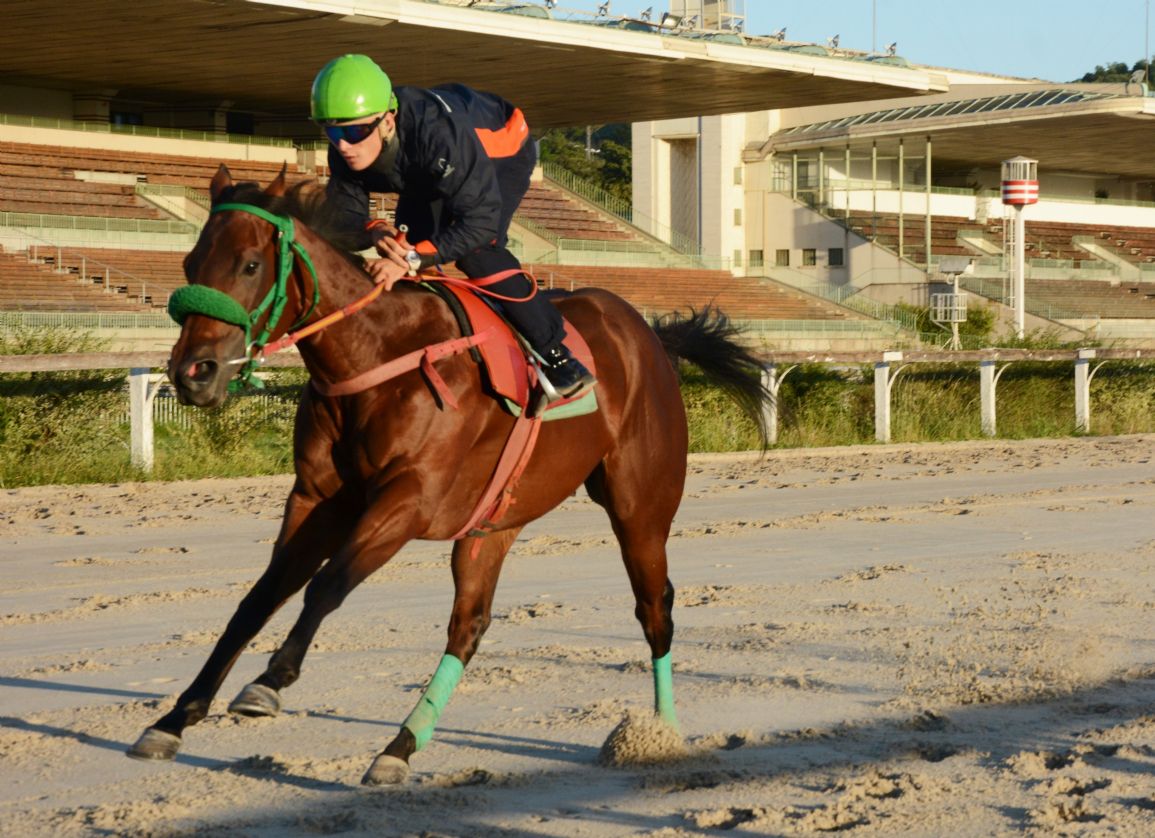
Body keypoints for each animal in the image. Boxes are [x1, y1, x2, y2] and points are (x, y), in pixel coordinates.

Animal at [126, 165, 770, 785]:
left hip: (641, 507)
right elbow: (259, 598)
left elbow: (327, 584)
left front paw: (270, 680)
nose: (192, 373)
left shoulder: (410, 500)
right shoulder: (315, 500)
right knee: (469, 625)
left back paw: (661, 734)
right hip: (493, 524)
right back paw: (399, 749)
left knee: (654, 608)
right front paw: (174, 718)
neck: (378, 357)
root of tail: (649, 334)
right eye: (189, 264)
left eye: (250, 264)